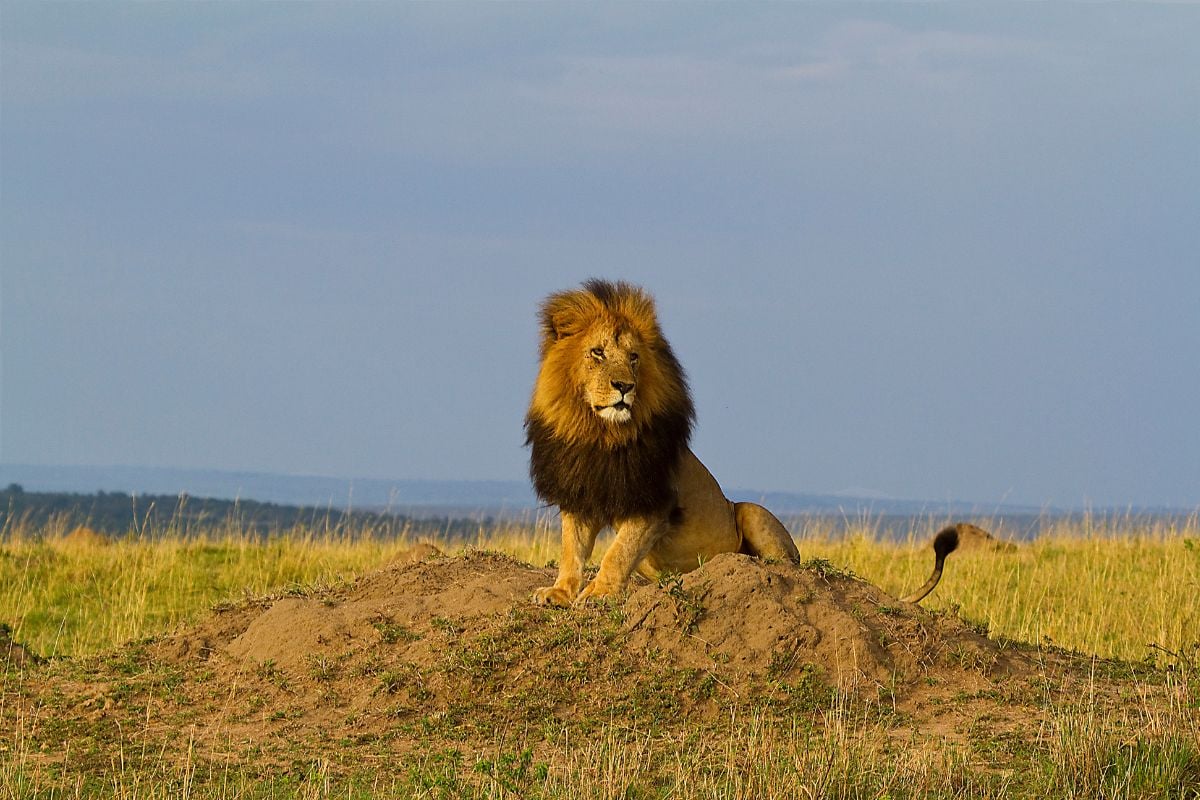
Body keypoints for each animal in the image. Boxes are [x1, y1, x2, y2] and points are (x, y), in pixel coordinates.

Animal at [525, 280, 964, 606]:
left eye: (633, 357)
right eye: (597, 353)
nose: (624, 387)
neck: (598, 434)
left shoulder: (654, 502)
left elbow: (617, 552)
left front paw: (598, 593)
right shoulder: (582, 492)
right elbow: (572, 550)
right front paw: (559, 592)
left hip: (750, 512)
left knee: (787, 564)